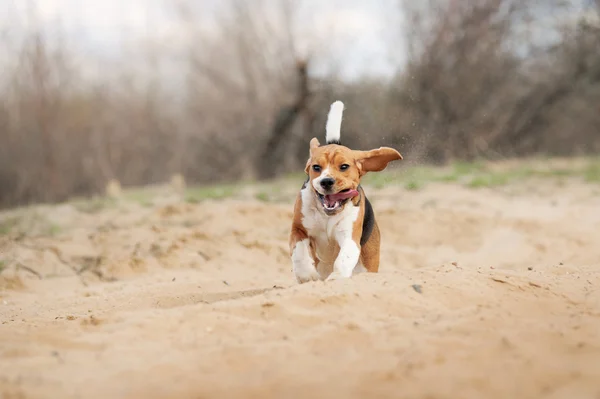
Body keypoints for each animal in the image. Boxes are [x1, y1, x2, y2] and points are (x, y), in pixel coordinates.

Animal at [290, 103, 404, 284]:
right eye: (316, 167)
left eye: (344, 166)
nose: (326, 181)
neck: (327, 215)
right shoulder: (298, 229)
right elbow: (299, 251)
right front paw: (306, 276)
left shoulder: (350, 237)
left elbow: (343, 259)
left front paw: (337, 277)